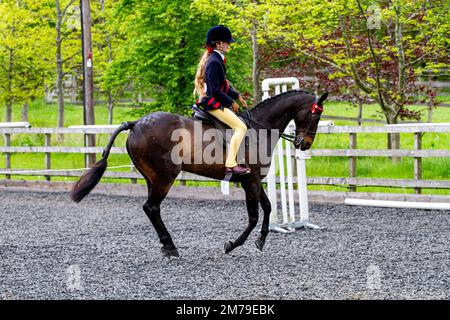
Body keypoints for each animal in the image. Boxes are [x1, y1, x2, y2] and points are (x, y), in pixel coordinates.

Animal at [69, 89, 326, 258]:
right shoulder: (250, 181)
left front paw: (261, 241)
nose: (305, 144)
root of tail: (136, 124)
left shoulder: (252, 180)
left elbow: (268, 207)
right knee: (151, 207)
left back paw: (167, 246)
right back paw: (171, 247)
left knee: (152, 209)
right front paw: (233, 244)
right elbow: (253, 216)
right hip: (164, 177)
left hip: (152, 178)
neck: (259, 129)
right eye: (316, 115)